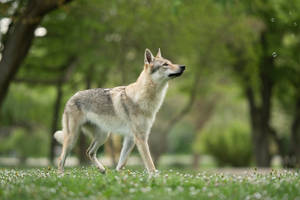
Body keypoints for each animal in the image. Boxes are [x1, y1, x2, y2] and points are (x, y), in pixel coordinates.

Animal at [54, 48, 185, 173]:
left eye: (171, 62)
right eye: (165, 64)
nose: (183, 66)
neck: (142, 97)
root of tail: (72, 97)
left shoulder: (130, 139)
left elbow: (120, 164)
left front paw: (119, 177)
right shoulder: (141, 138)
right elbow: (150, 164)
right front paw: (155, 177)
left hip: (103, 136)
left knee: (89, 152)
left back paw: (102, 170)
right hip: (73, 138)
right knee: (61, 160)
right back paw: (61, 176)